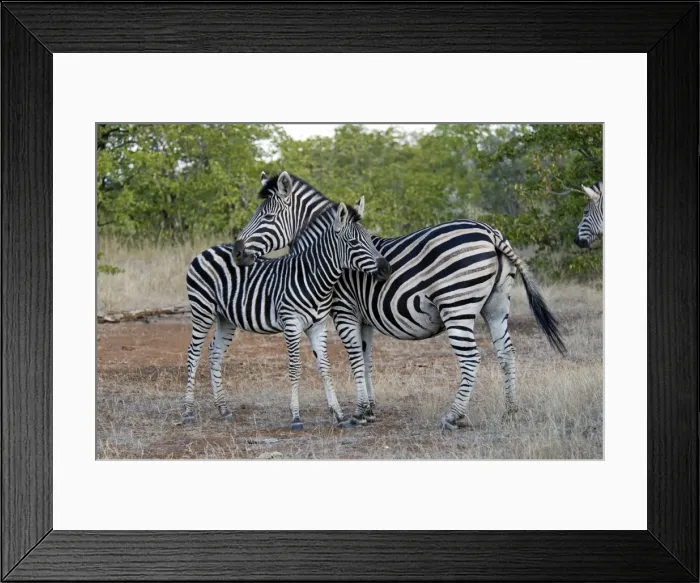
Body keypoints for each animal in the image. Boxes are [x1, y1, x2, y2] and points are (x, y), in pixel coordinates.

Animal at [184, 201, 392, 429]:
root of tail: (206, 251)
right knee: (193, 353)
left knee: (215, 352)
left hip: (226, 318)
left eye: (370, 239)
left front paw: (338, 414)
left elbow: (325, 367)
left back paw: (223, 409)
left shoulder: (318, 326)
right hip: (202, 309)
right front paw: (296, 417)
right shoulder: (291, 323)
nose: (387, 269)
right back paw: (188, 412)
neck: (314, 279)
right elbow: (294, 368)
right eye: (354, 242)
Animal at [234, 171, 566, 430]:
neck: (327, 254)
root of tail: (491, 232)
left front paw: (359, 413)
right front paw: (370, 409)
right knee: (506, 354)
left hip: (456, 305)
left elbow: (354, 358)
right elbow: (366, 358)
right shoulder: (364, 318)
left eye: (266, 217)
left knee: (471, 358)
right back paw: (510, 411)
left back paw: (454, 416)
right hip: (497, 306)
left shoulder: (343, 311)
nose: (236, 251)